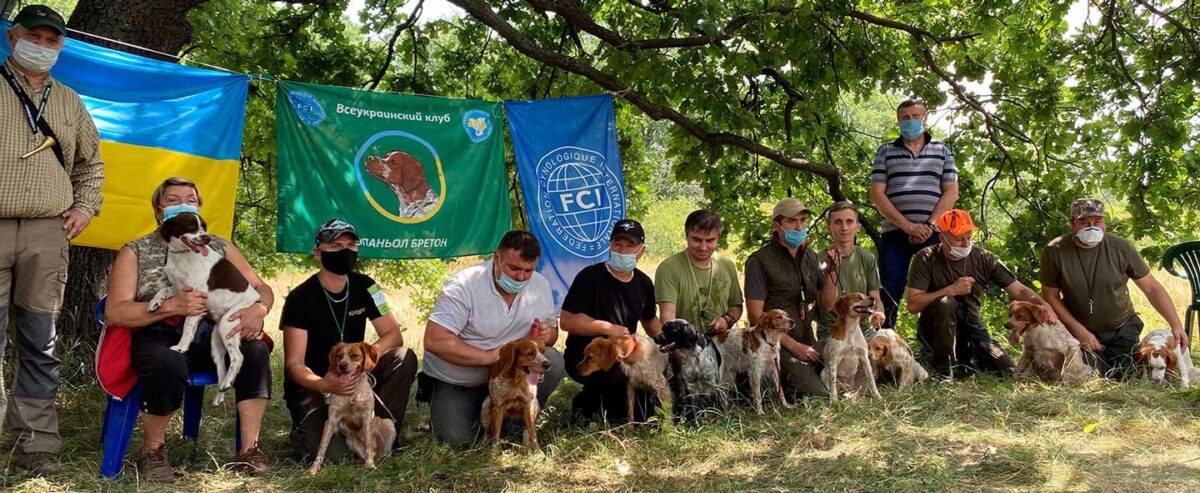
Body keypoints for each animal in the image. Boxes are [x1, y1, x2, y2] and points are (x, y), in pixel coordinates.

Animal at [146, 212, 261, 405]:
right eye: (191, 226)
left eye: (204, 227)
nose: (207, 238)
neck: (181, 256)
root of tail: (257, 301)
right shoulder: (178, 289)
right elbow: (162, 290)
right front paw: (154, 303)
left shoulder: (197, 299)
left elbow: (187, 329)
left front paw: (181, 347)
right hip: (216, 343)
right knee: (222, 370)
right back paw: (220, 395)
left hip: (227, 324)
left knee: (238, 357)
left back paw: (228, 383)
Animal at [307, 343, 396, 475]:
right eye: (339, 356)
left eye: (354, 355)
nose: (342, 365)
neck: (353, 394)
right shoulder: (332, 420)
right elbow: (322, 447)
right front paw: (313, 469)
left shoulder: (367, 418)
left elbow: (369, 446)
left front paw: (370, 465)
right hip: (351, 441)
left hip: (388, 423)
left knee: (382, 452)